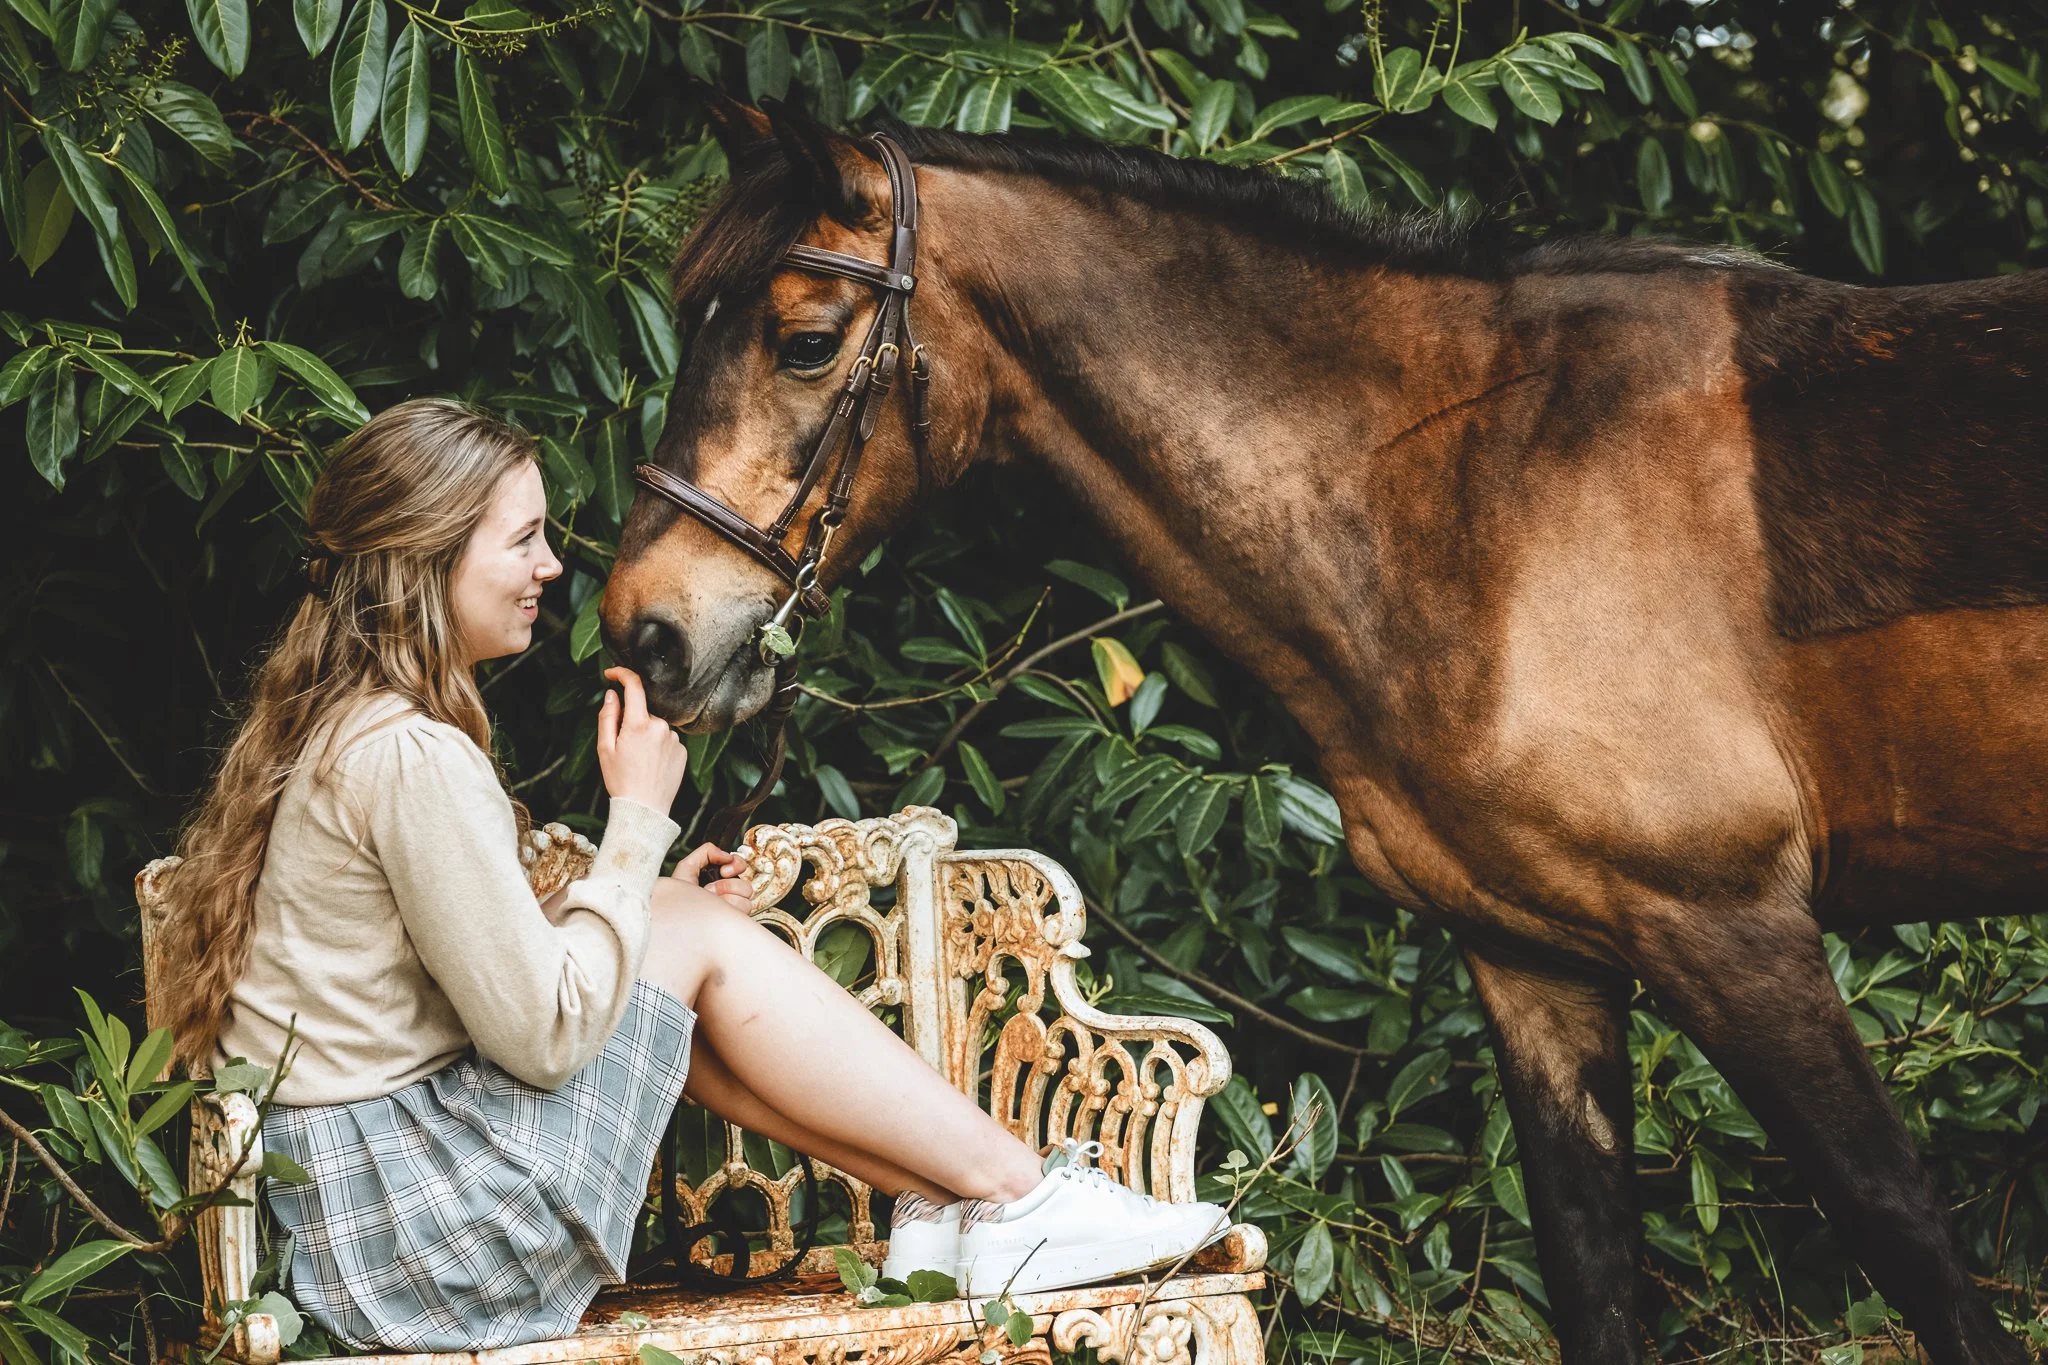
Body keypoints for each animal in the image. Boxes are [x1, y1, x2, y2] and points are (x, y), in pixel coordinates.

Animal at [599, 97, 2048, 1365]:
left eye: (802, 341)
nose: (646, 631)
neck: (1475, 484)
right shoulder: (1536, 964)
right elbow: (1591, 1275)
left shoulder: (1732, 930)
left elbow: (1908, 1242)